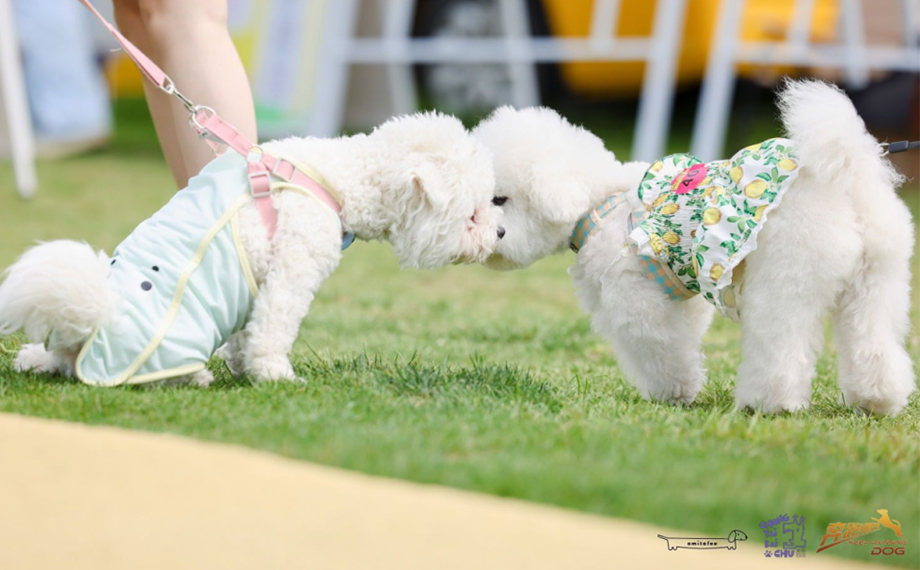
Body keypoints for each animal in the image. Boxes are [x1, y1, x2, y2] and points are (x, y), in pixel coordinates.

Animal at [0, 112, 504, 386]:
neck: (339, 179)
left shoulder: (256, 285)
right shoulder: (294, 266)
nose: (499, 234)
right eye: (472, 214)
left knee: (54, 363)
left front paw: (243, 366)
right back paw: (194, 376)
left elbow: (248, 330)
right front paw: (273, 374)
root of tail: (91, 321)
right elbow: (273, 328)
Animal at [473, 79, 915, 415]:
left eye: (499, 199)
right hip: (878, 283)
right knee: (874, 342)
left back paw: (767, 404)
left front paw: (673, 393)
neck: (602, 201)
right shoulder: (684, 289)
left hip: (786, 281)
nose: (487, 234)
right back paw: (877, 400)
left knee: (782, 350)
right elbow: (685, 333)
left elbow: (660, 348)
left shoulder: (635, 298)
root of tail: (846, 181)